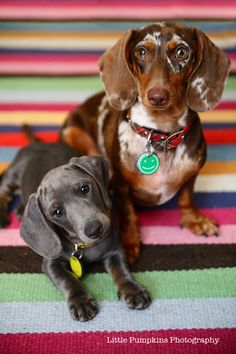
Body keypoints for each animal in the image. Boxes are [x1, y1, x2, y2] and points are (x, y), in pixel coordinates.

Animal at [0, 140, 151, 320]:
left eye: (85, 188)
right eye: (57, 212)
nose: (94, 229)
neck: (84, 246)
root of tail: (40, 142)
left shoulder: (114, 250)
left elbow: (121, 270)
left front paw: (132, 289)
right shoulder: (51, 264)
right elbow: (68, 279)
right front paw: (81, 301)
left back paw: (20, 209)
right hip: (13, 172)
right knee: (3, 190)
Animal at [62, 21, 230, 260]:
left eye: (181, 52)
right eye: (141, 51)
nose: (157, 96)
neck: (160, 134)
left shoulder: (192, 173)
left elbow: (186, 197)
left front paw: (194, 220)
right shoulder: (121, 186)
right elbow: (129, 212)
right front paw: (129, 240)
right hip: (72, 132)